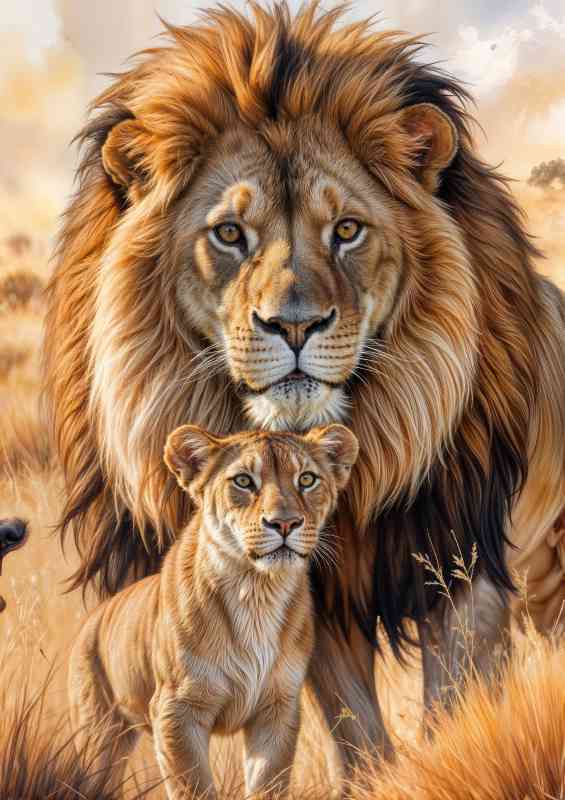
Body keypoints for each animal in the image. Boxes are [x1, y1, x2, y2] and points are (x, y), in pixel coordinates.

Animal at [44, 1, 565, 775]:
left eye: (346, 229)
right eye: (230, 233)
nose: (293, 324)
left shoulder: (459, 557)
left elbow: (456, 704)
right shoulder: (313, 596)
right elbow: (355, 731)